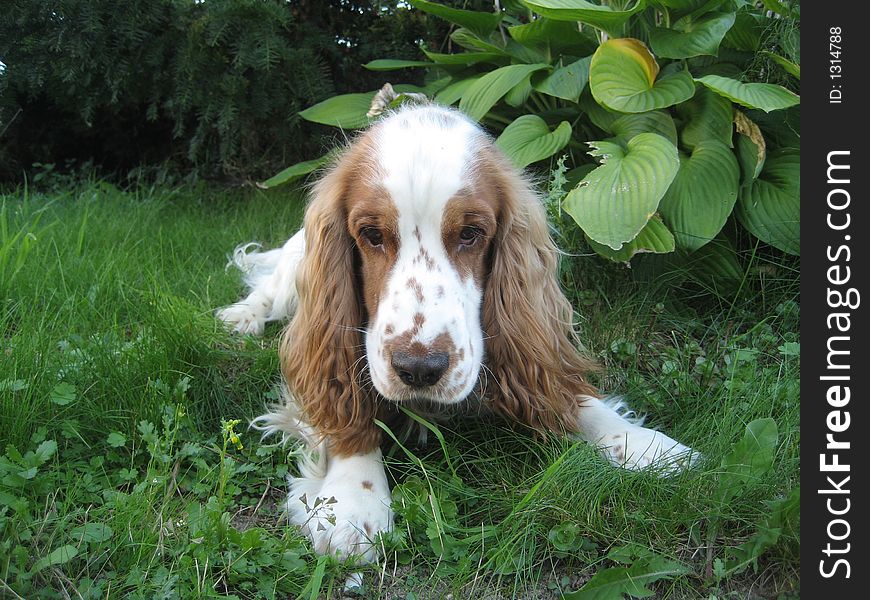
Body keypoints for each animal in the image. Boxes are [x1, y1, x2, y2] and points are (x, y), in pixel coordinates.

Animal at [221, 102, 700, 564]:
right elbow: (347, 413)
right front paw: (354, 502)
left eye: (471, 233)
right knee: (269, 290)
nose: (419, 369)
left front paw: (644, 444)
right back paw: (241, 317)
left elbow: (571, 397)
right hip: (297, 266)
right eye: (371, 234)